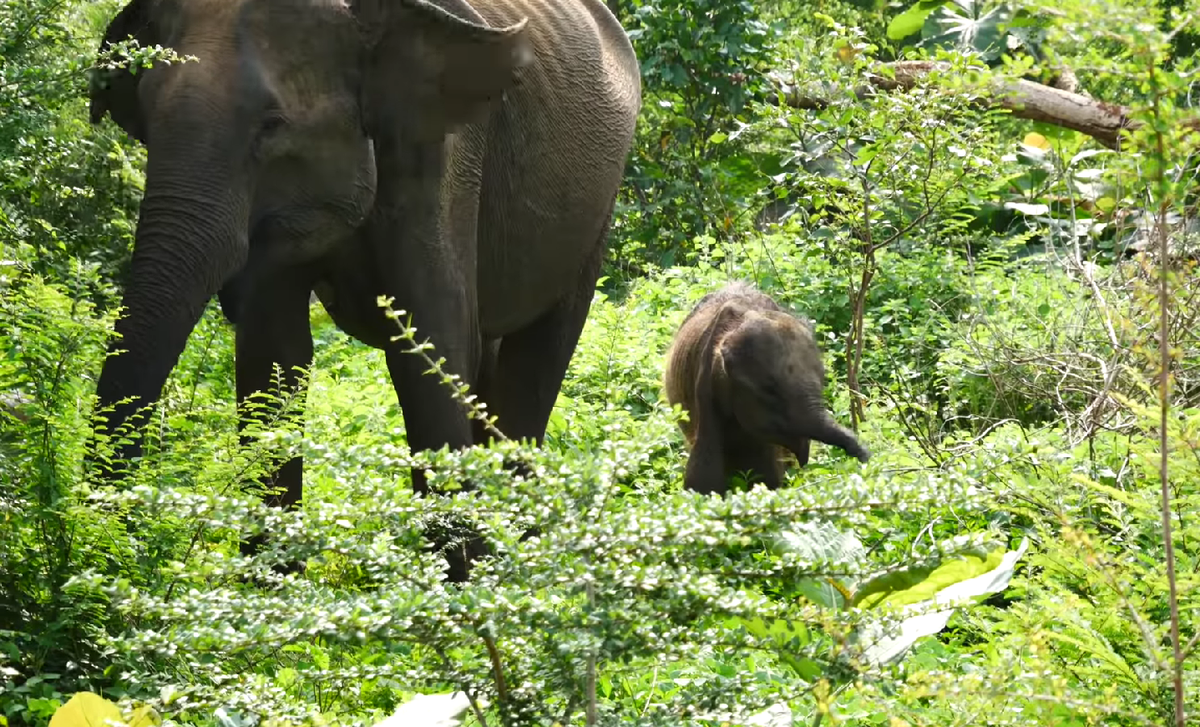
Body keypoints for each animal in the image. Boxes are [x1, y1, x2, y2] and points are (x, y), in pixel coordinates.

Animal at [88, 0, 643, 575]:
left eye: (271, 126)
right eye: (145, 117)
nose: (109, 543)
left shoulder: (441, 161)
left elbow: (432, 344)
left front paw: (463, 587)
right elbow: (275, 354)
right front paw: (271, 584)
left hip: (598, 207)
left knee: (534, 363)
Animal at [667, 283, 873, 496]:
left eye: (823, 379)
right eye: (769, 390)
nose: (865, 457)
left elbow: (766, 479)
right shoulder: (705, 387)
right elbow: (703, 482)